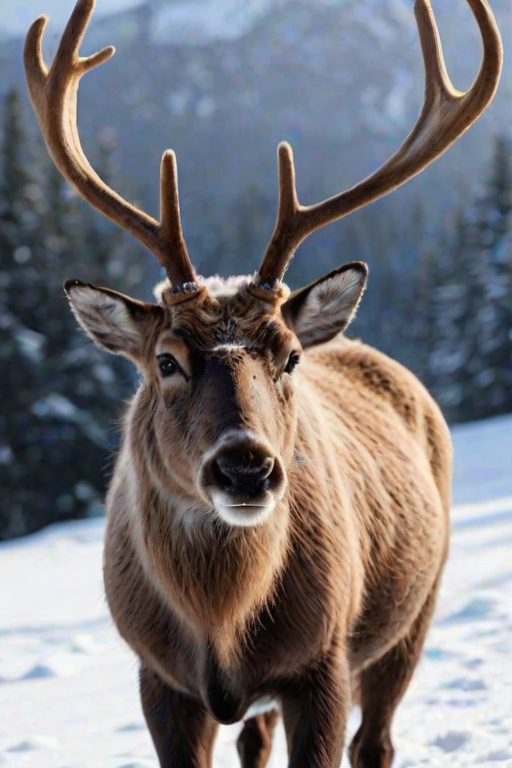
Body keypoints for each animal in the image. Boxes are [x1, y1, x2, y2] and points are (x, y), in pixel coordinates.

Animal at [23, 0, 501, 766]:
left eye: (289, 356)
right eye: (166, 360)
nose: (246, 467)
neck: (220, 623)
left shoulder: (322, 663)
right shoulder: (157, 677)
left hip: (417, 607)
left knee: (376, 740)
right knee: (256, 739)